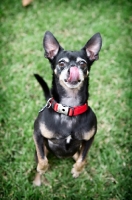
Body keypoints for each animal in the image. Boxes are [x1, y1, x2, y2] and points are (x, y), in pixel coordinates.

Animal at [32, 30, 101, 186]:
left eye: (83, 63)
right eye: (61, 63)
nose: (73, 68)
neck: (69, 108)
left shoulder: (89, 139)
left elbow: (82, 159)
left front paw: (77, 170)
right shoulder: (37, 134)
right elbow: (42, 159)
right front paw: (42, 169)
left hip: (77, 150)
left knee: (80, 158)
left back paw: (86, 175)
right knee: (40, 156)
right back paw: (38, 179)